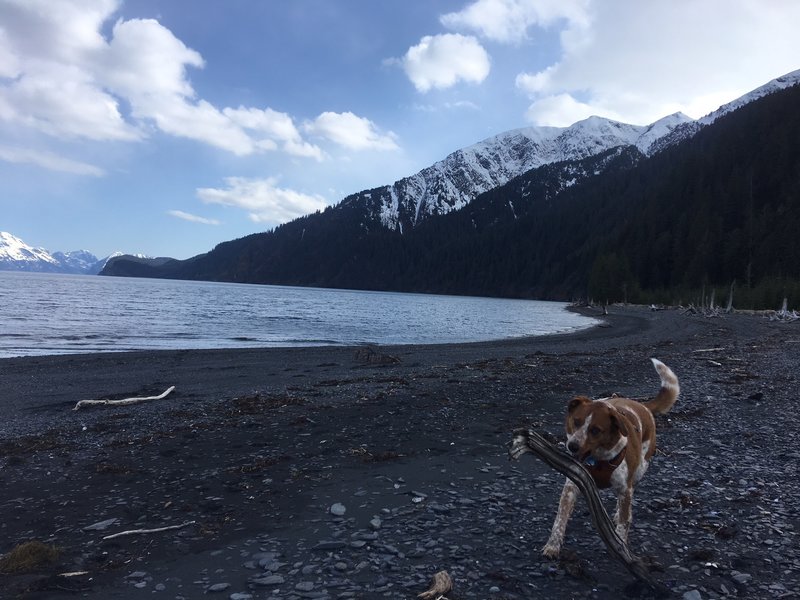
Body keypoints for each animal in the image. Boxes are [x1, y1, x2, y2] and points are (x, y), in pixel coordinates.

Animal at [540, 356, 680, 556]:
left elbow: (623, 521)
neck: (597, 459)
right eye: (576, 422)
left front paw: (620, 544)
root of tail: (642, 405)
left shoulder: (625, 488)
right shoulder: (571, 485)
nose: (572, 446)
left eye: (595, 430)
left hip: (640, 469)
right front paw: (553, 544)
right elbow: (560, 518)